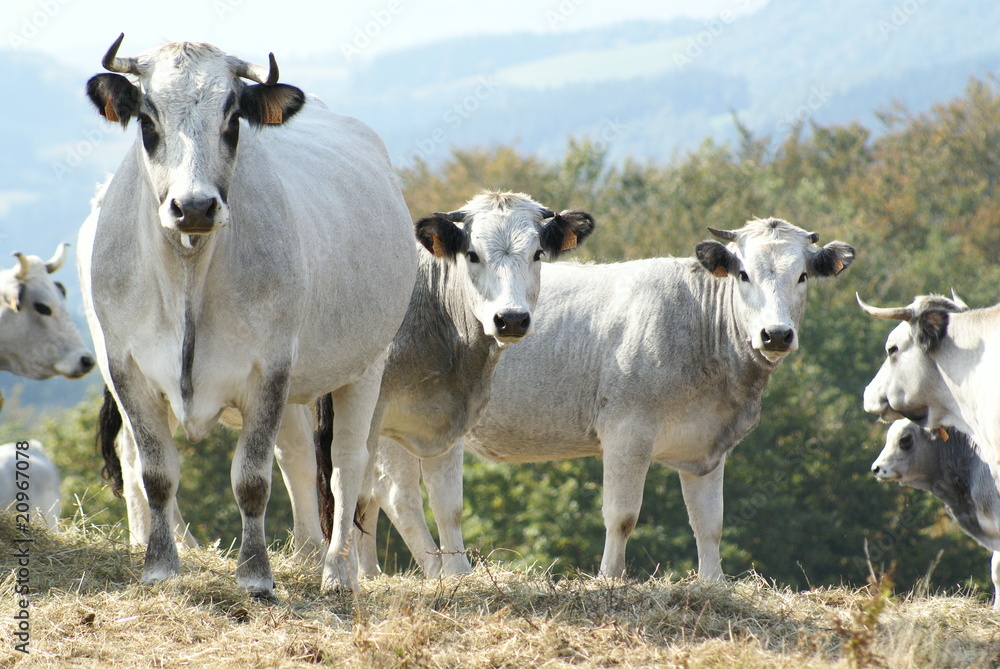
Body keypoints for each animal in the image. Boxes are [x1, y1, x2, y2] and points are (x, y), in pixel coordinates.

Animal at [364, 217, 856, 576]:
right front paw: (609, 579)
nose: (776, 334)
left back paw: (370, 573)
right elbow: (622, 515)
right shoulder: (627, 429)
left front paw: (712, 584)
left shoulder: (706, 445)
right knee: (397, 497)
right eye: (744, 274)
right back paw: (435, 573)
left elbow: (710, 524)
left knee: (367, 494)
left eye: (802, 276)